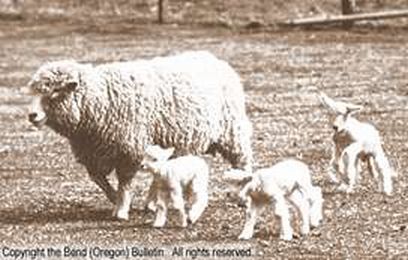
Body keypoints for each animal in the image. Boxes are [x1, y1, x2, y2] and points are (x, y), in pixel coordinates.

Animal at [26, 51, 252, 221]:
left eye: (55, 92)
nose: (31, 115)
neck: (101, 99)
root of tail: (216, 59)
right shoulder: (92, 154)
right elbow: (100, 180)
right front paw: (115, 199)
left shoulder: (129, 149)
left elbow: (125, 182)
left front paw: (121, 210)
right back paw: (150, 204)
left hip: (232, 130)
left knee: (242, 159)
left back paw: (243, 194)